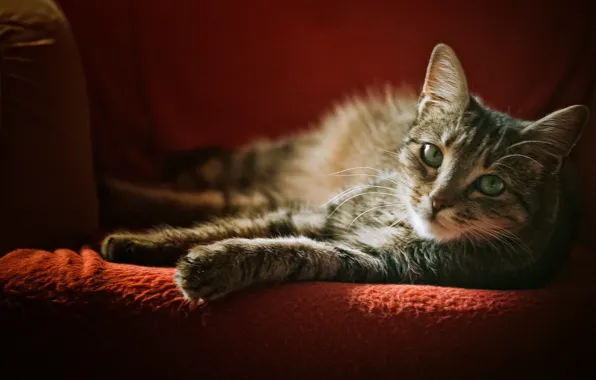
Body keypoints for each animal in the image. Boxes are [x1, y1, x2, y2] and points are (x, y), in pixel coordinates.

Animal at [98, 43, 588, 302]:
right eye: (432, 154)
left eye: (491, 184)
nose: (437, 201)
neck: (400, 221)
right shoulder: (317, 213)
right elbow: (227, 224)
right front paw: (142, 241)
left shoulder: (374, 261)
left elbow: (283, 250)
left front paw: (215, 263)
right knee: (218, 191)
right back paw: (117, 192)